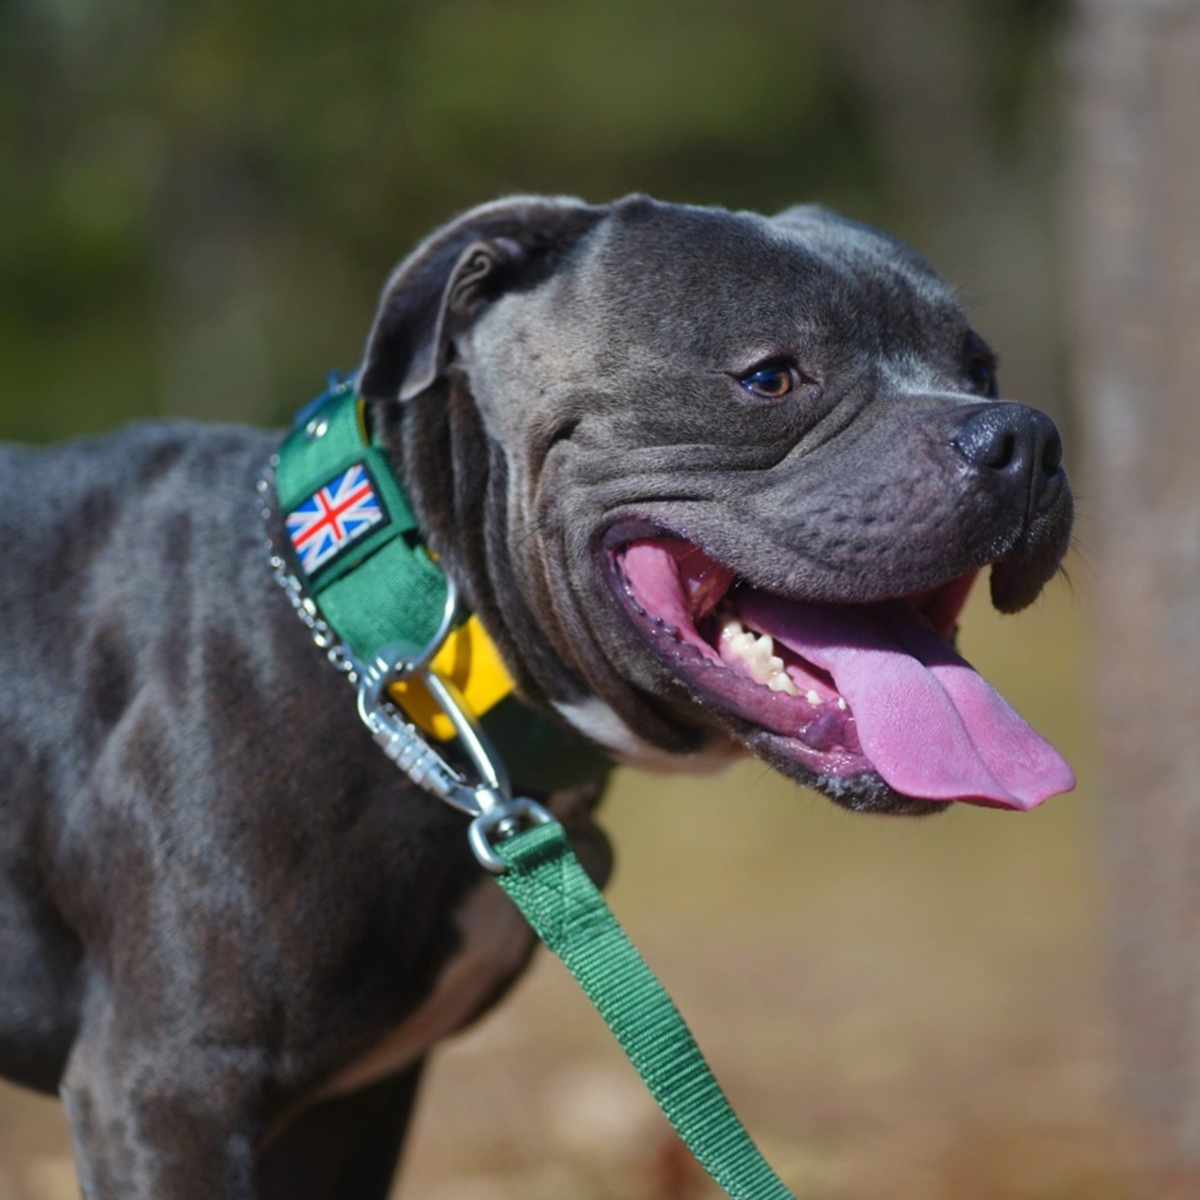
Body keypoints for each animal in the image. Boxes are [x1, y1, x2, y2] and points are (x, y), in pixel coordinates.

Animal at [0, 192, 1075, 1195]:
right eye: (770, 377)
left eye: (981, 369)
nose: (1026, 436)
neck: (412, 658)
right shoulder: (170, 1090)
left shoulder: (347, 1110)